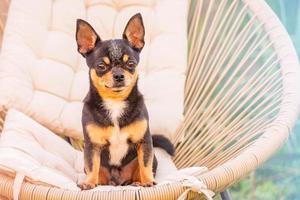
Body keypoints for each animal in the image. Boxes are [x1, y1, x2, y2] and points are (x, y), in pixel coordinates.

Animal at [75, 13, 175, 190]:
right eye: (101, 66)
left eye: (131, 64)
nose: (119, 75)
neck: (115, 103)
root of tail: (117, 182)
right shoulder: (92, 146)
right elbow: (92, 165)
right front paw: (89, 183)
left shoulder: (144, 142)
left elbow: (145, 163)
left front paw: (148, 181)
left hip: (151, 160)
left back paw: (138, 182)